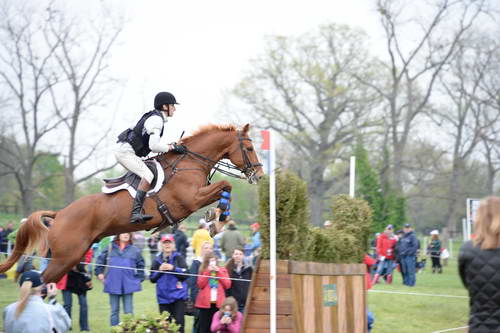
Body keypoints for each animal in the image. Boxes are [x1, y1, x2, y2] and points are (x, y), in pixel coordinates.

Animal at [0, 123, 264, 282]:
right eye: (250, 147)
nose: (259, 175)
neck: (190, 162)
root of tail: (60, 214)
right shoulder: (191, 199)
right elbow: (226, 186)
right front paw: (216, 220)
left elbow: (225, 188)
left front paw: (215, 221)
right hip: (66, 257)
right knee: (39, 284)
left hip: (72, 256)